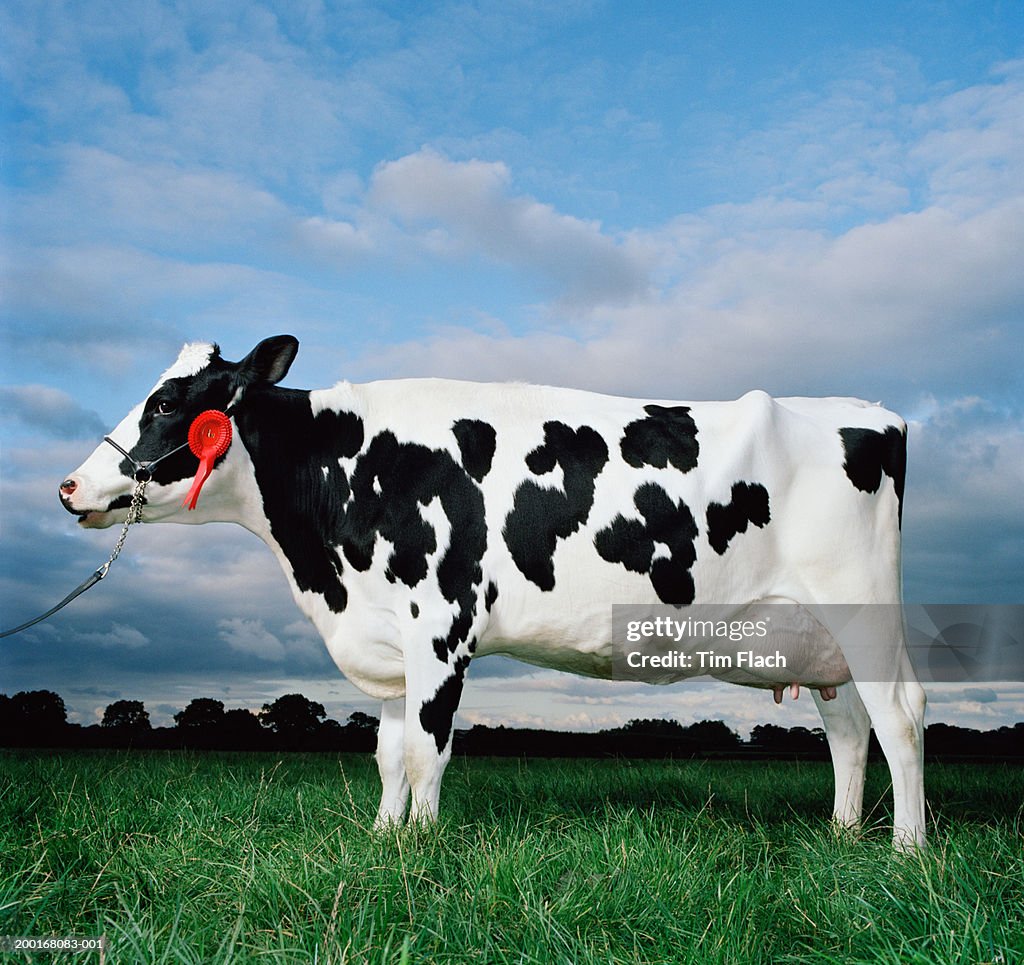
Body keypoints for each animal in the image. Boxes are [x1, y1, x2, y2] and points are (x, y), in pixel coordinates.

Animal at [59, 335, 926, 848]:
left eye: (169, 402)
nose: (70, 486)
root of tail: (871, 413)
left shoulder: (441, 622)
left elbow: (425, 750)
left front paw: (422, 847)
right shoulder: (389, 637)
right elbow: (386, 752)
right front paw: (385, 838)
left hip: (863, 609)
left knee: (900, 715)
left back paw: (906, 848)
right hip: (813, 637)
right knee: (849, 728)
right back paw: (843, 833)